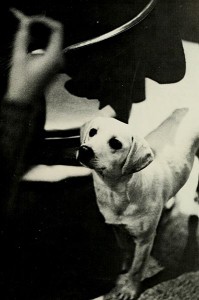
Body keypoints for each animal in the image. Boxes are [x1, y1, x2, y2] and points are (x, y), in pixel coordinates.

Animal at [76, 108, 199, 300]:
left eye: (115, 143)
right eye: (93, 132)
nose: (84, 150)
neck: (117, 191)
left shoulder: (145, 240)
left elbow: (137, 268)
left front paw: (129, 290)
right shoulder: (117, 229)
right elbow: (126, 253)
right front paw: (123, 272)